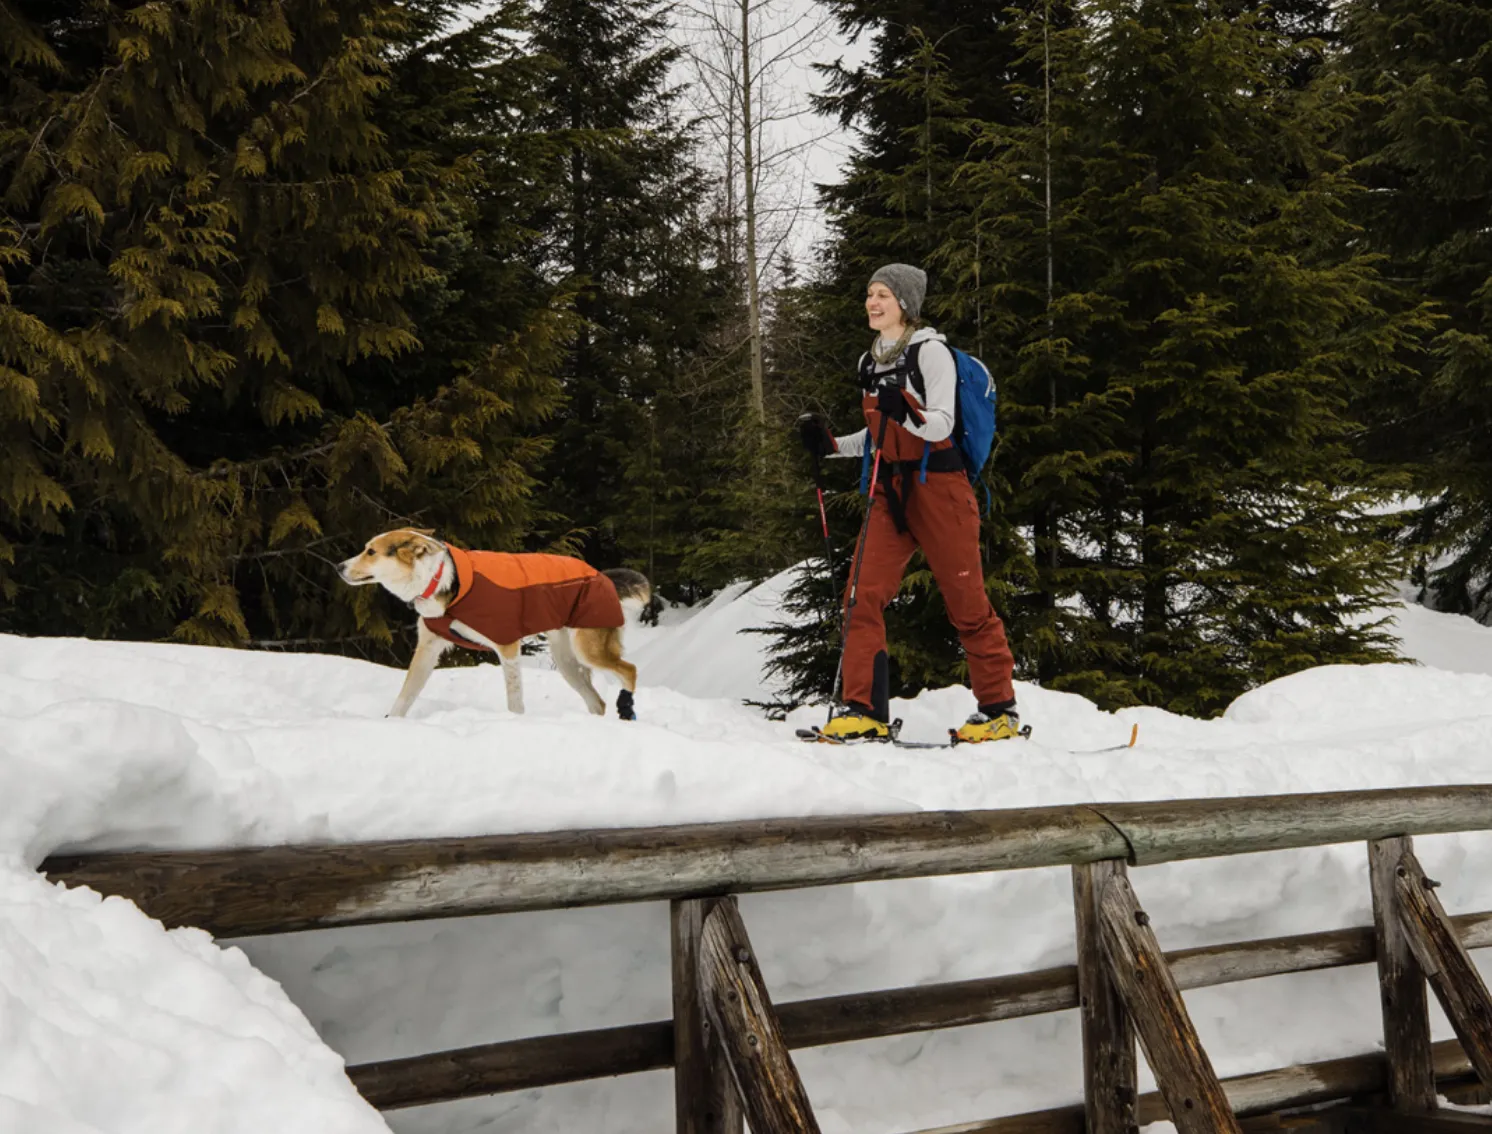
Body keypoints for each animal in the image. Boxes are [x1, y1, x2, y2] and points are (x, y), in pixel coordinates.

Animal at [341, 528, 650, 716]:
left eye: (371, 551)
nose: (338, 566)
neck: (445, 582)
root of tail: (603, 576)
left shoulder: (507, 647)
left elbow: (514, 701)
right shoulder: (428, 649)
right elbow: (405, 696)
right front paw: (392, 722)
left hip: (589, 649)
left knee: (631, 671)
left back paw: (627, 710)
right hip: (567, 662)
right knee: (597, 702)